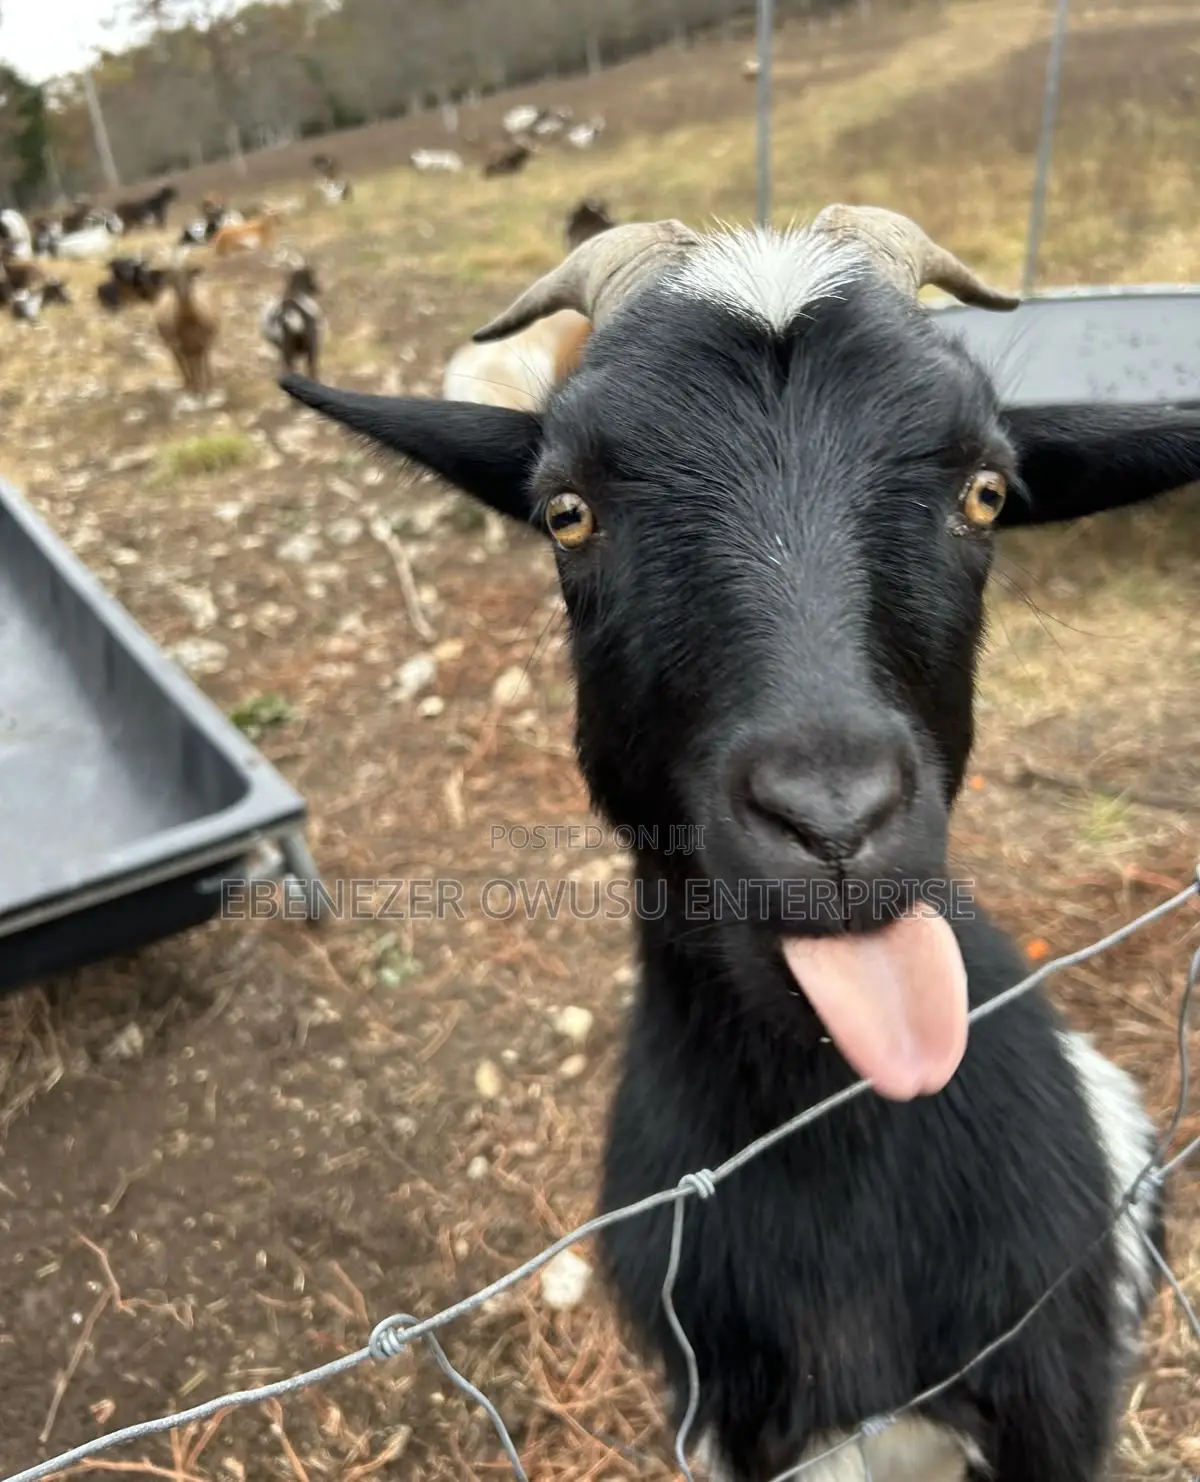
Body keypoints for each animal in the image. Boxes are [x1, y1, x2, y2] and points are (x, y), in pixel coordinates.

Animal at [155, 261, 217, 397]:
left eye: (189, 277)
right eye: (173, 279)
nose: (184, 294)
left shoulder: (203, 343)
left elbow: (203, 365)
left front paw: (205, 388)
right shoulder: (178, 346)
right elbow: (187, 368)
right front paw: (192, 388)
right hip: (177, 347)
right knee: (185, 365)